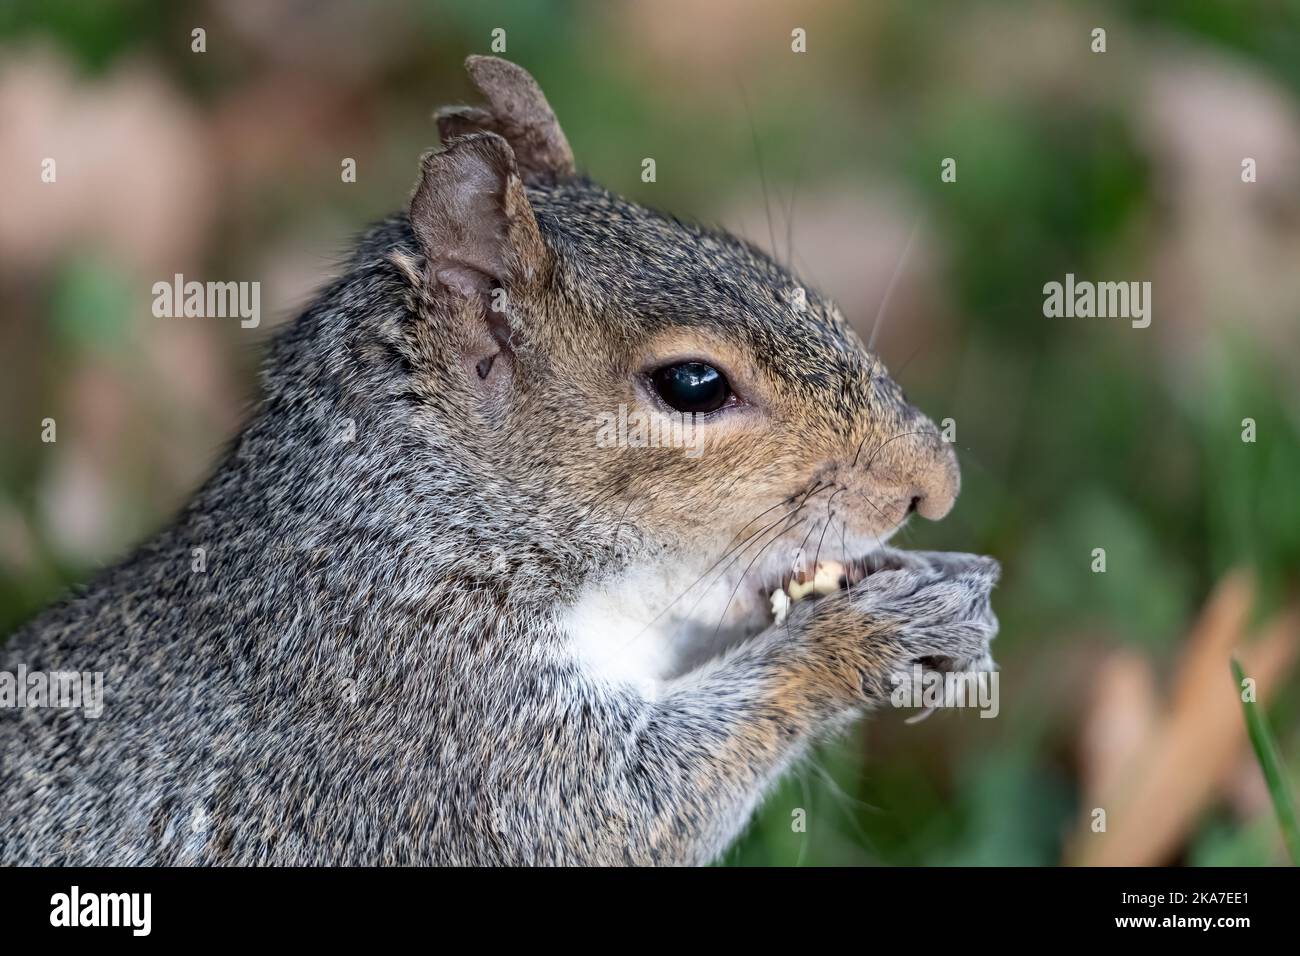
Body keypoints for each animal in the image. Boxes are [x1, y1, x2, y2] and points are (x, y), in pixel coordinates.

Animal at [0, 56, 999, 866]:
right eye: (692, 383)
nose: (936, 485)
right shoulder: (431, 720)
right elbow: (624, 810)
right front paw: (869, 633)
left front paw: (931, 582)